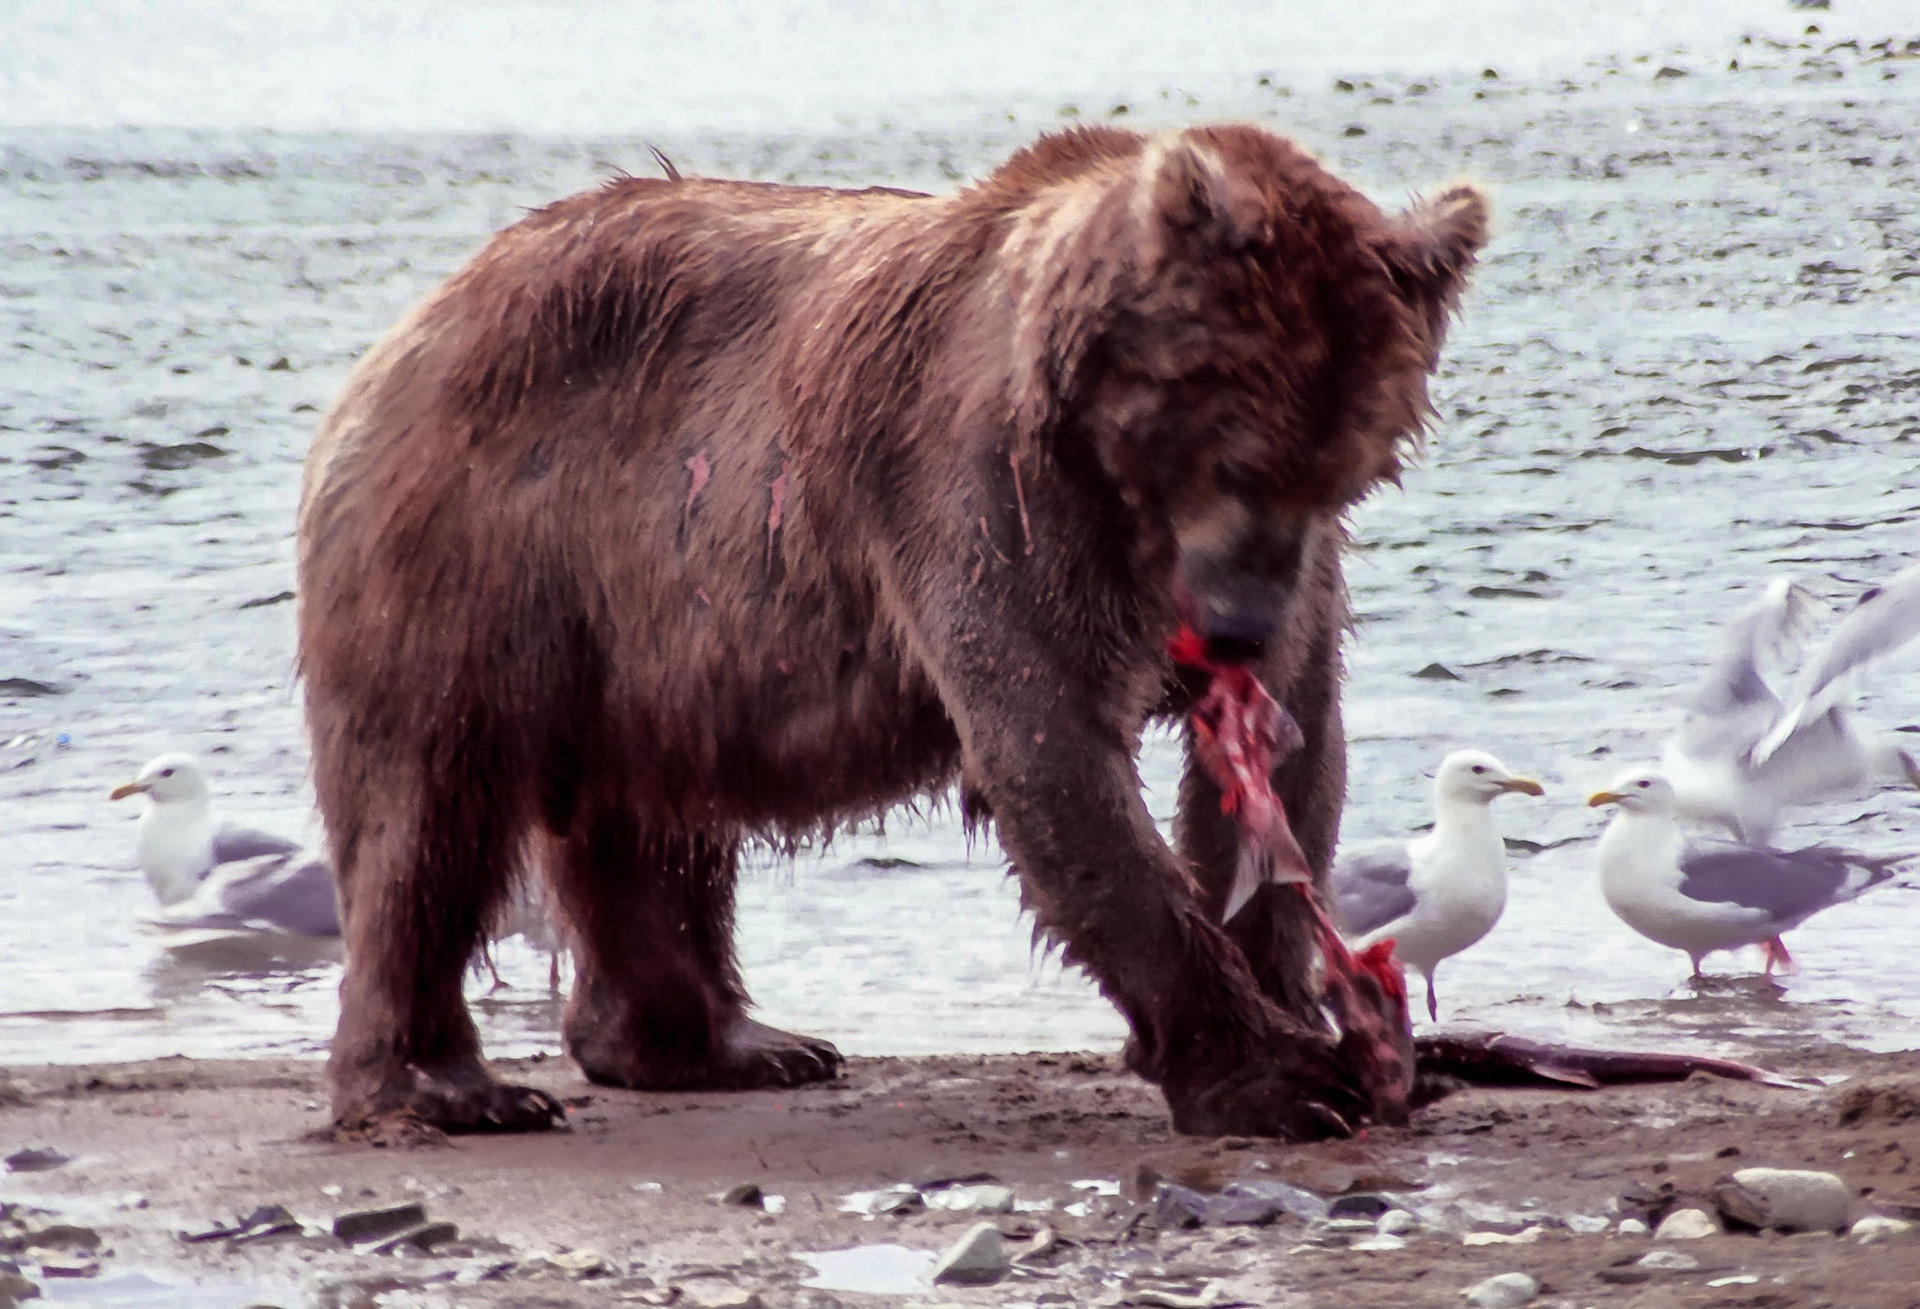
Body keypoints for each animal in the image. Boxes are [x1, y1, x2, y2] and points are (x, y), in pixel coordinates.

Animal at [296, 122, 1488, 1141]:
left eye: (1346, 462)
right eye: (1234, 455)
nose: (1234, 627)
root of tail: (417, 320)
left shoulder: (1292, 577)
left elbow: (1293, 759)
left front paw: (1310, 1012)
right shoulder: (985, 493)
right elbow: (1049, 744)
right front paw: (1277, 1080)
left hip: (647, 619)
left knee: (651, 818)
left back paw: (725, 1044)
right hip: (479, 542)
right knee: (430, 804)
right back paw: (448, 1087)